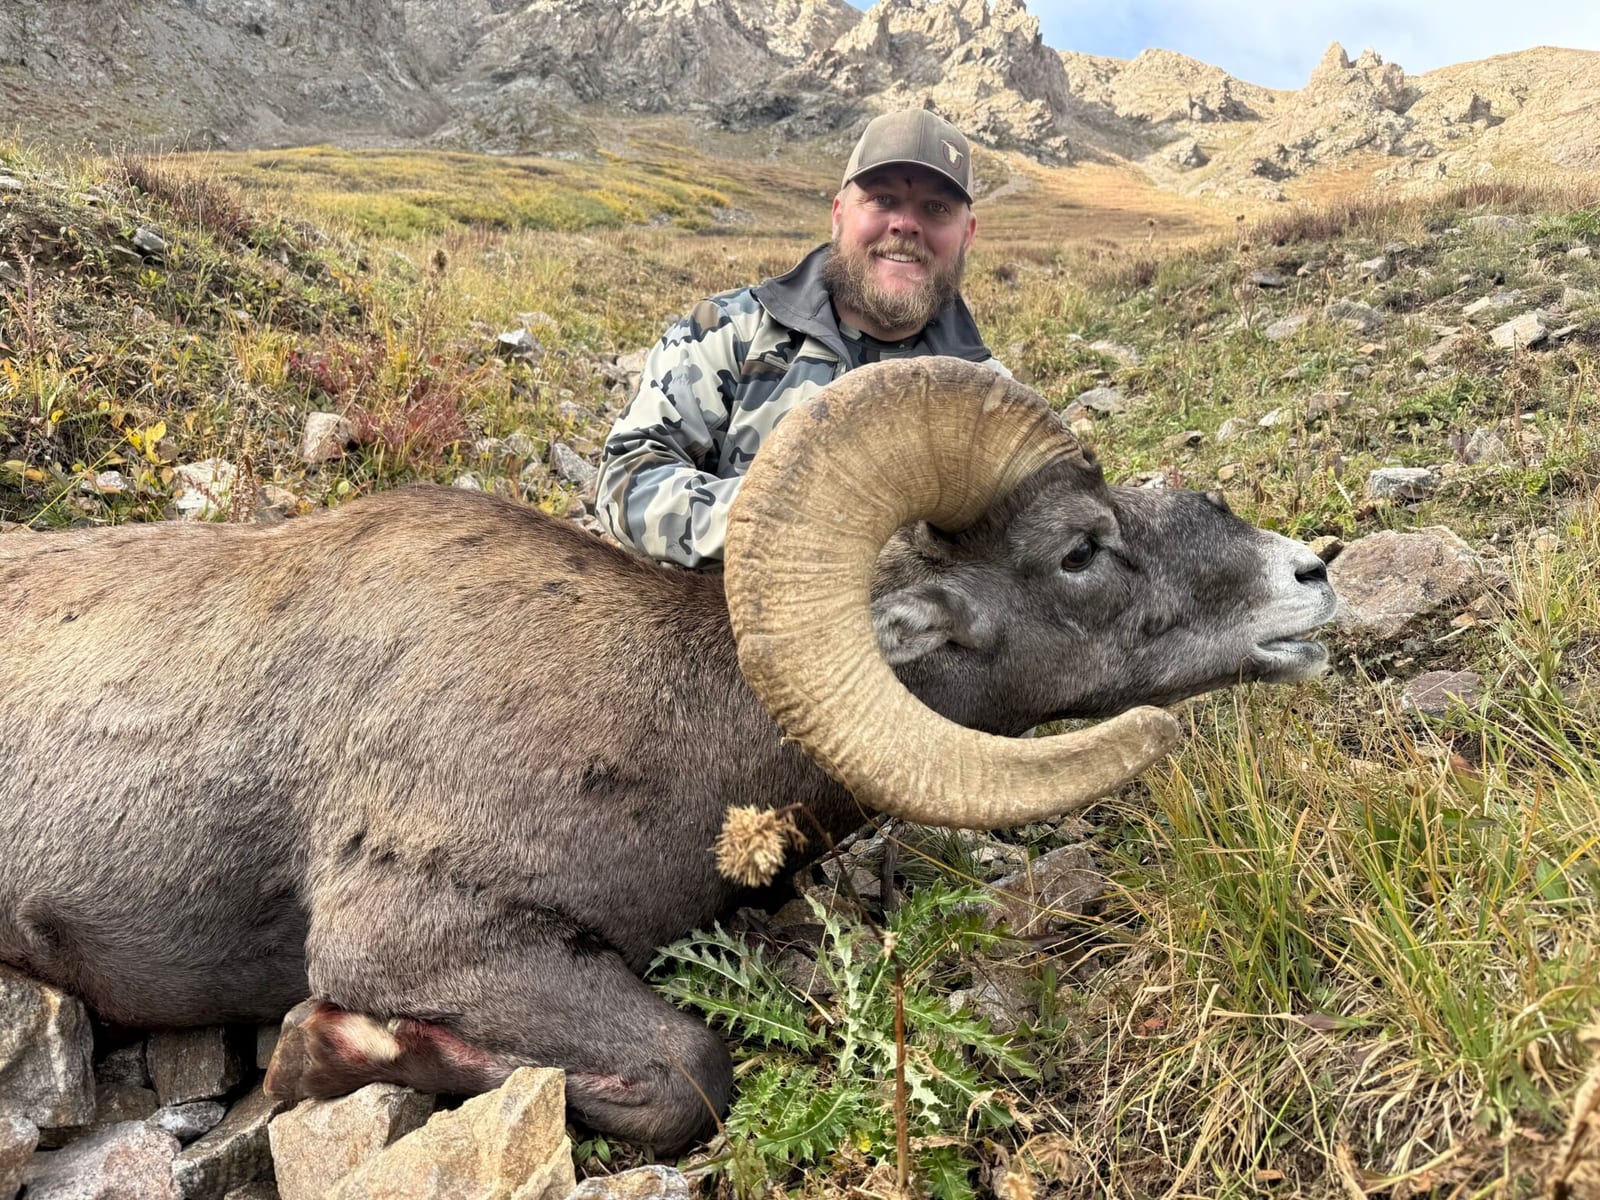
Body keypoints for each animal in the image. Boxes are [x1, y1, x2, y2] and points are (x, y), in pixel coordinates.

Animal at [0, 358, 1336, 1150]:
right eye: (1079, 549)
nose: (1311, 575)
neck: (670, 712)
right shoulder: (422, 938)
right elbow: (694, 1071)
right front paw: (314, 1057)